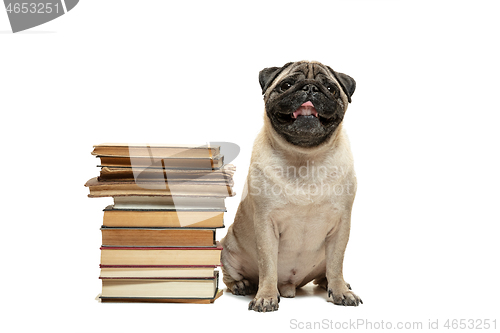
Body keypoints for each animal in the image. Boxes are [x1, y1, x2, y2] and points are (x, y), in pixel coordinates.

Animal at [221, 60, 362, 312]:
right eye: (286, 85)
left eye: (331, 89)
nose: (310, 88)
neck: (305, 157)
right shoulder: (266, 225)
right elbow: (268, 264)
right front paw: (266, 296)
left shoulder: (341, 226)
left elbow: (337, 263)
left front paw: (340, 291)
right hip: (227, 249)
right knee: (231, 276)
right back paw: (242, 285)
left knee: (327, 272)